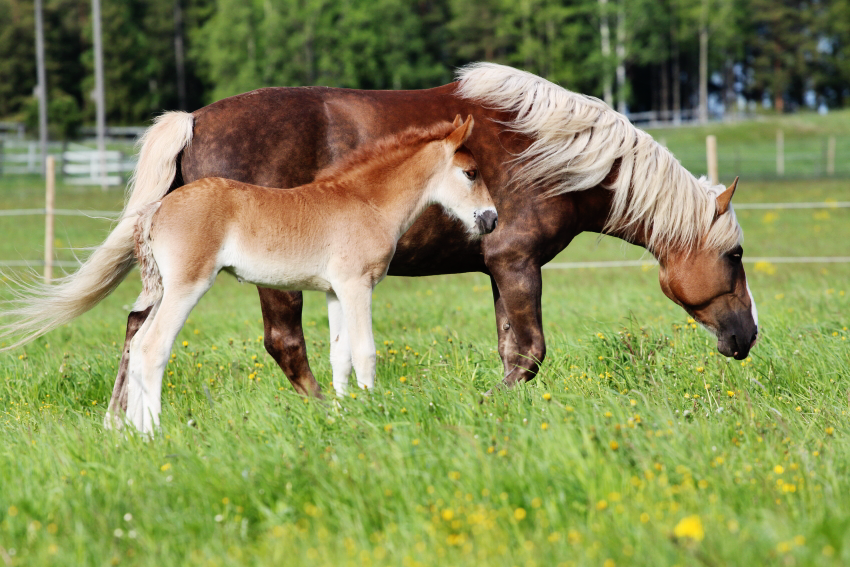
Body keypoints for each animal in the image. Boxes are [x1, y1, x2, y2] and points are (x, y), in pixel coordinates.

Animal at [1, 63, 757, 418]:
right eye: (736, 255)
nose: (746, 336)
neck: (551, 150)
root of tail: (193, 118)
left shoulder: (496, 269)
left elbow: (510, 349)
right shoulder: (516, 263)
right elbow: (528, 353)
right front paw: (493, 408)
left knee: (135, 329)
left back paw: (118, 423)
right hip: (264, 281)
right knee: (282, 344)